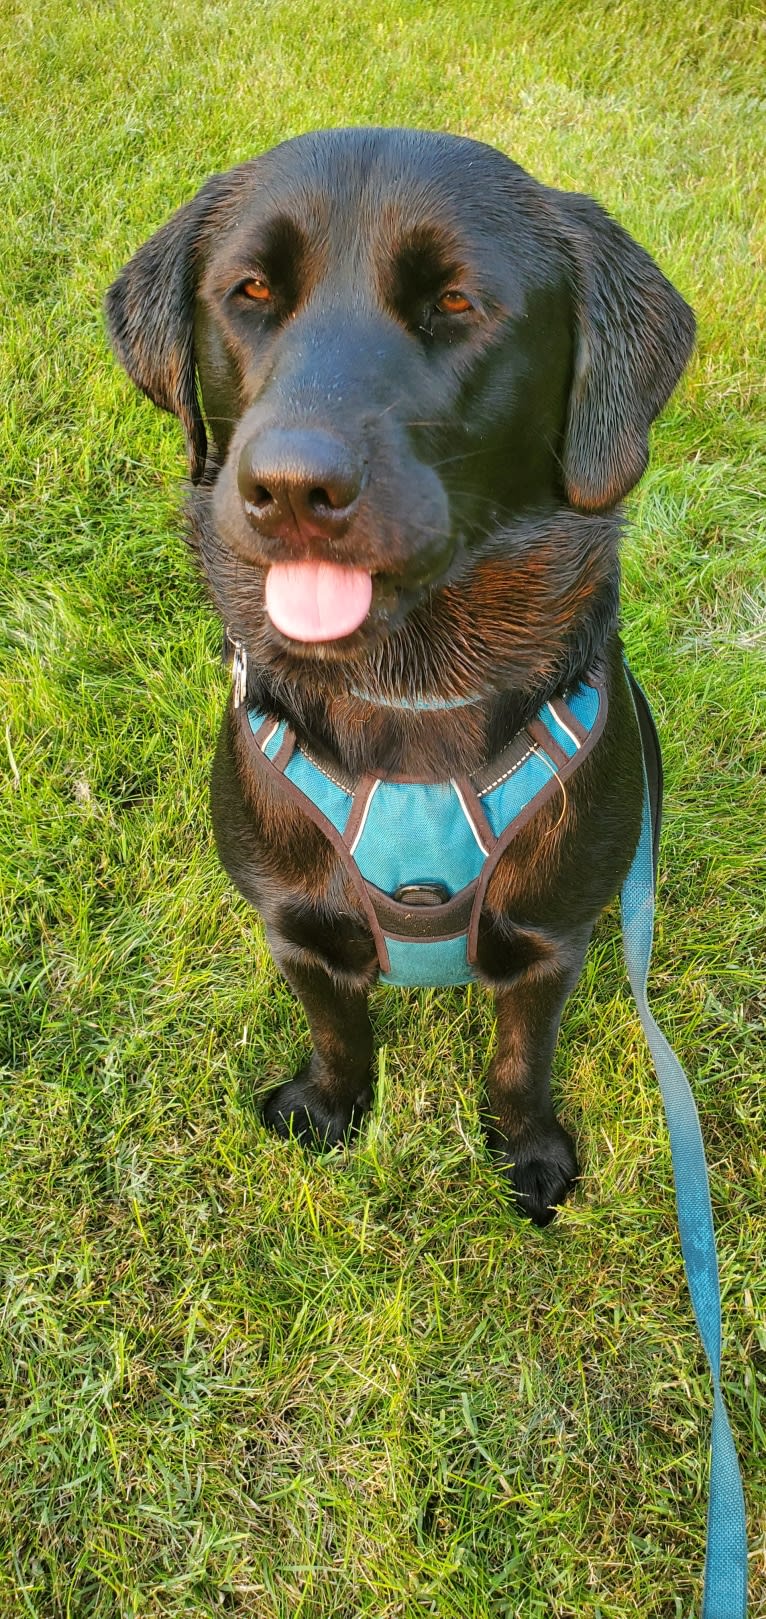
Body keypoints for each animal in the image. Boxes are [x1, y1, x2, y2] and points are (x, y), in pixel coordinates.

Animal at [104, 126, 696, 1223]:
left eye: (456, 302)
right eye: (250, 291)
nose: (292, 485)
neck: (408, 683)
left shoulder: (551, 937)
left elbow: (520, 1059)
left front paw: (526, 1149)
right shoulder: (294, 927)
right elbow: (338, 1031)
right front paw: (331, 1108)